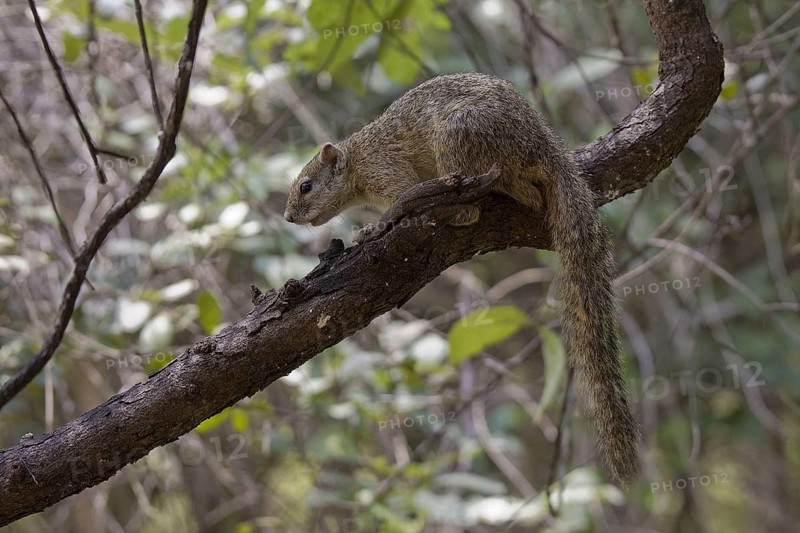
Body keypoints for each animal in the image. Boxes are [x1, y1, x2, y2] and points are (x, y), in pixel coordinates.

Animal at [284, 72, 640, 485]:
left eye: (306, 185)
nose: (288, 216)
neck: (357, 159)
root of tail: (542, 146)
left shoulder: (386, 171)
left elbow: (397, 200)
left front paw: (371, 229)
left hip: (459, 138)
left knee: (481, 205)